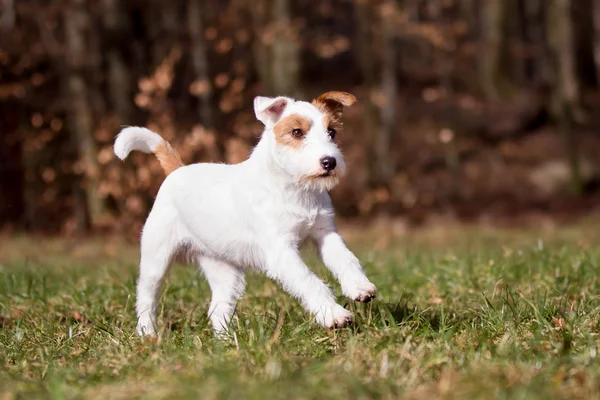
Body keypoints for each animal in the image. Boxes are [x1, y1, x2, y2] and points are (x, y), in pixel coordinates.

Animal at [115, 90, 378, 334]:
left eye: (332, 132)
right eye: (296, 132)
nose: (329, 162)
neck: (294, 189)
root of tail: (177, 170)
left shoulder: (325, 234)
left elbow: (346, 259)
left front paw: (359, 287)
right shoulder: (281, 252)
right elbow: (310, 281)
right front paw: (334, 315)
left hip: (224, 272)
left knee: (217, 310)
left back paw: (228, 343)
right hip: (156, 259)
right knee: (146, 300)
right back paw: (148, 334)